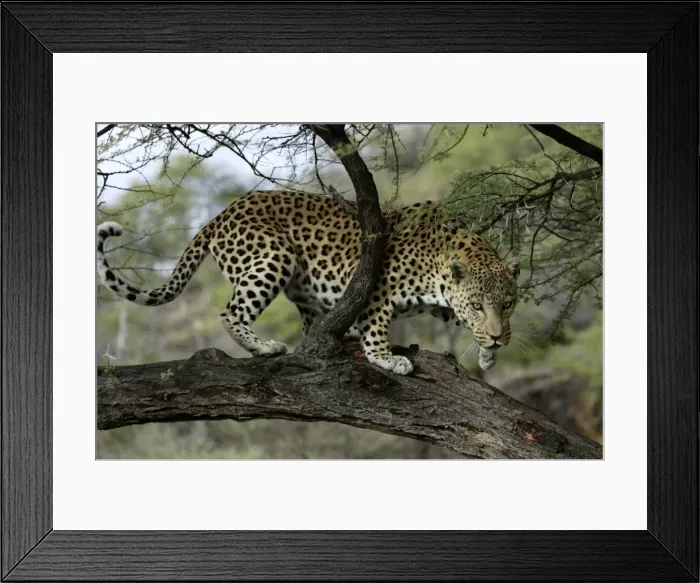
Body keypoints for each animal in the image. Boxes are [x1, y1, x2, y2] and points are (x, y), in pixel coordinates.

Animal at [96, 189, 520, 375]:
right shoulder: (377, 287)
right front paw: (386, 358)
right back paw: (264, 347)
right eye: (478, 304)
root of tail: (219, 215)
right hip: (272, 257)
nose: (500, 337)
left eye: (508, 304)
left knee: (307, 325)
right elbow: (377, 325)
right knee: (230, 313)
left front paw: (488, 353)